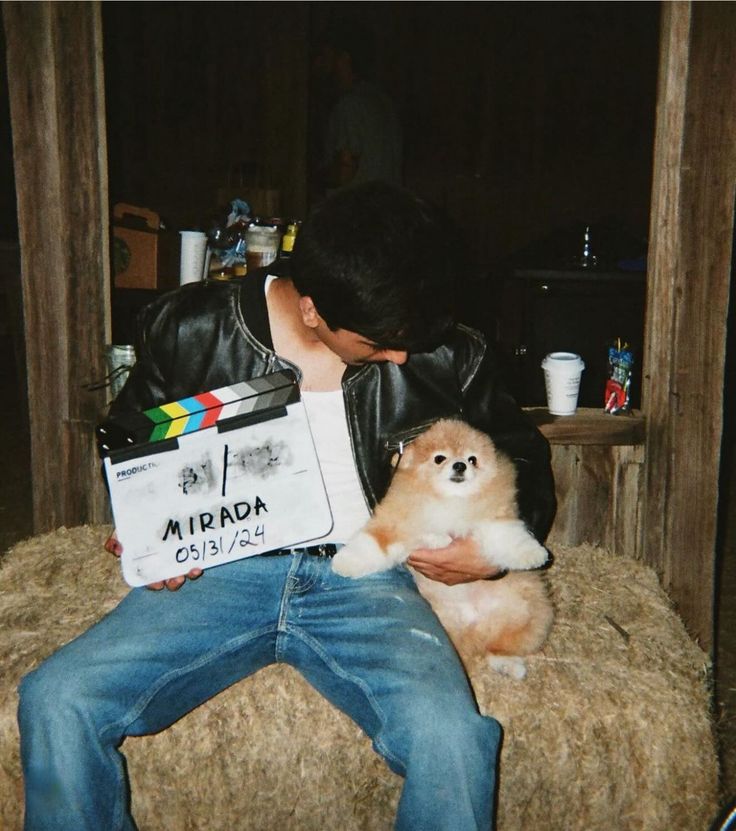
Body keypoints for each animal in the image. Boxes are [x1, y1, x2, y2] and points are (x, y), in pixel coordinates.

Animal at [332, 420, 552, 680]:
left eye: (472, 459)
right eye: (439, 458)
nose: (459, 465)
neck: (449, 499)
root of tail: (473, 628)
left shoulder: (494, 519)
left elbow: (508, 536)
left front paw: (534, 554)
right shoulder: (397, 524)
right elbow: (377, 543)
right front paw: (343, 563)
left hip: (528, 613)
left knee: (498, 647)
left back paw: (510, 664)